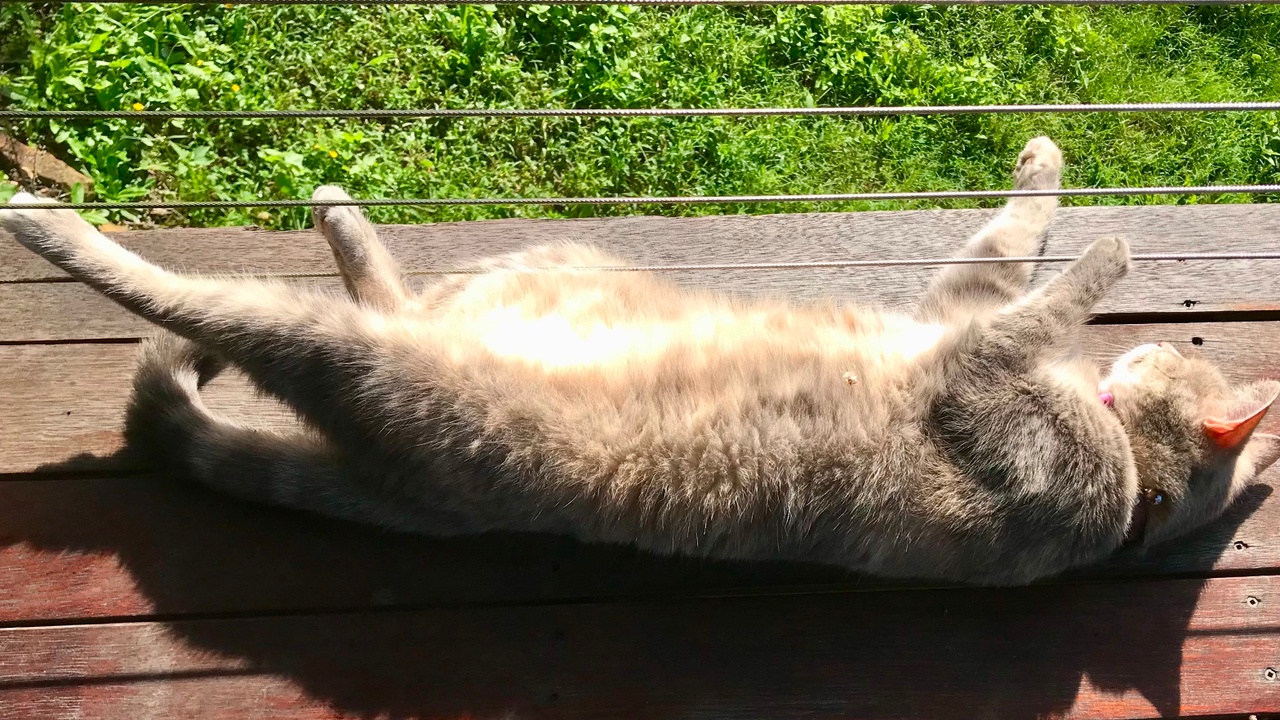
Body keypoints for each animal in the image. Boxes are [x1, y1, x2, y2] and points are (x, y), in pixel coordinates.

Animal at [5, 134, 1274, 584]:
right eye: (1171, 352)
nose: (1132, 355)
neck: (1123, 474)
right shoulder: (958, 304)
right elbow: (1014, 240)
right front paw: (1050, 166)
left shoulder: (970, 372)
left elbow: (1050, 286)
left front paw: (1109, 243)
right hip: (537, 265)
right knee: (394, 292)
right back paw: (339, 213)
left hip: (368, 364)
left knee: (194, 302)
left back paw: (43, 221)